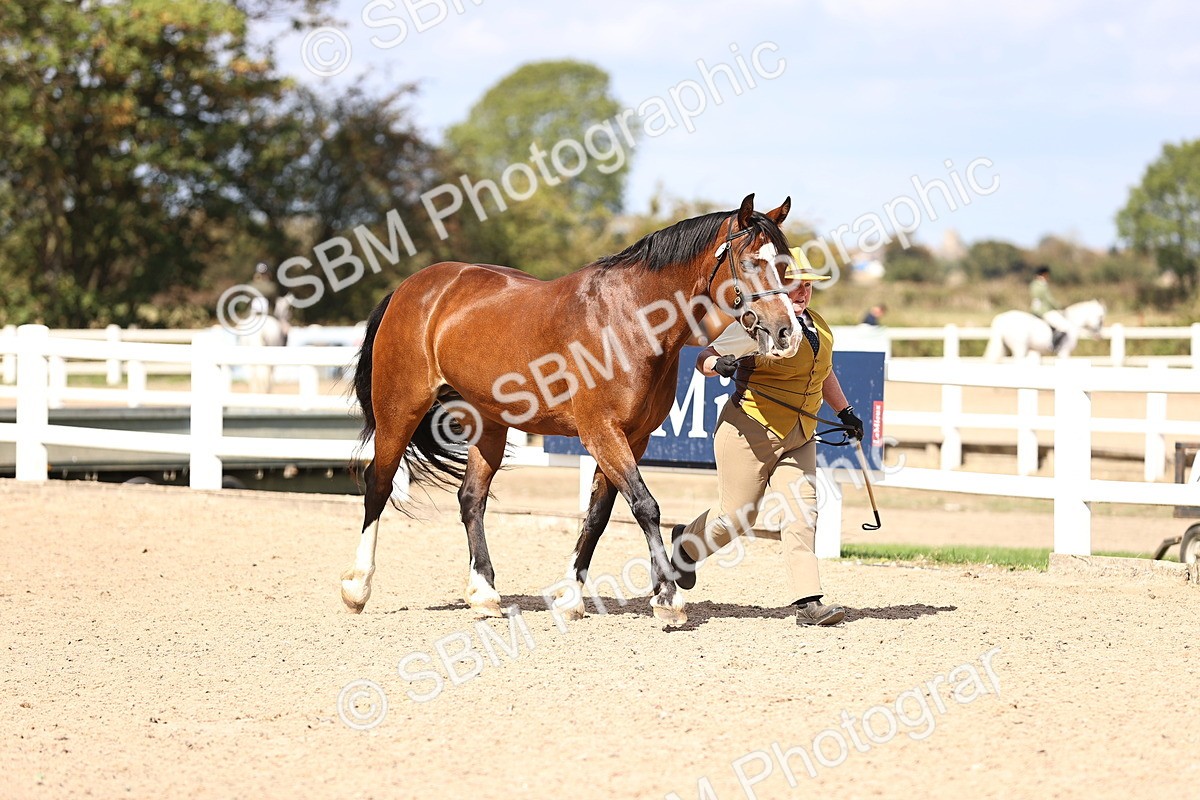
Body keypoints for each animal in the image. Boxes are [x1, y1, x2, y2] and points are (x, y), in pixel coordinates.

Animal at [342, 194, 802, 626]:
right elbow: (645, 506)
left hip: (489, 423)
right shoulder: (602, 432)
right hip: (400, 410)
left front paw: (571, 599)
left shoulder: (632, 438)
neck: (628, 321)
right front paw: (668, 599)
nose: (786, 333)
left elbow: (598, 515)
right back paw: (357, 588)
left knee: (471, 497)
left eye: (785, 264)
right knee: (379, 484)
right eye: (750, 261)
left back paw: (484, 594)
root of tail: (412, 288)